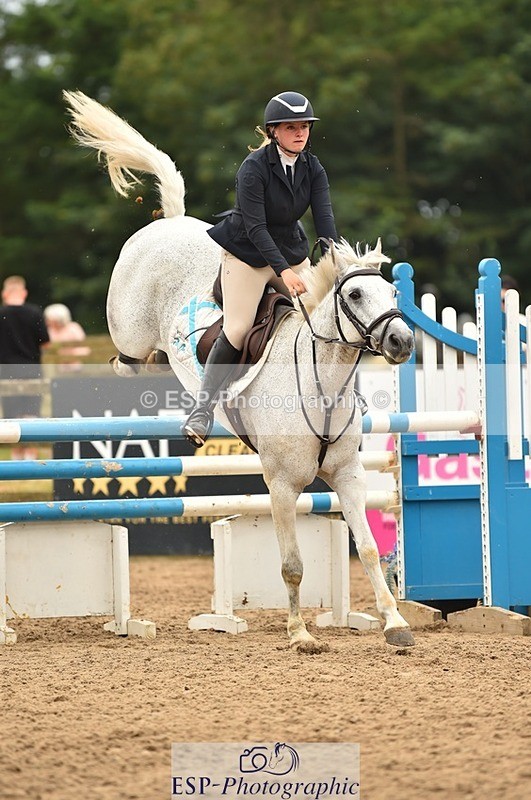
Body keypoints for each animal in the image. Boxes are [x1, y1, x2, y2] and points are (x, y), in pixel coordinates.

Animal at [63, 90, 416, 653]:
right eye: (357, 294)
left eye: (393, 291)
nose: (402, 342)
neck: (322, 385)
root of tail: (171, 221)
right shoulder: (282, 484)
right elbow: (292, 564)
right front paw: (300, 635)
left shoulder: (349, 475)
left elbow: (364, 548)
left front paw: (395, 623)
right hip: (130, 329)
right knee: (128, 357)